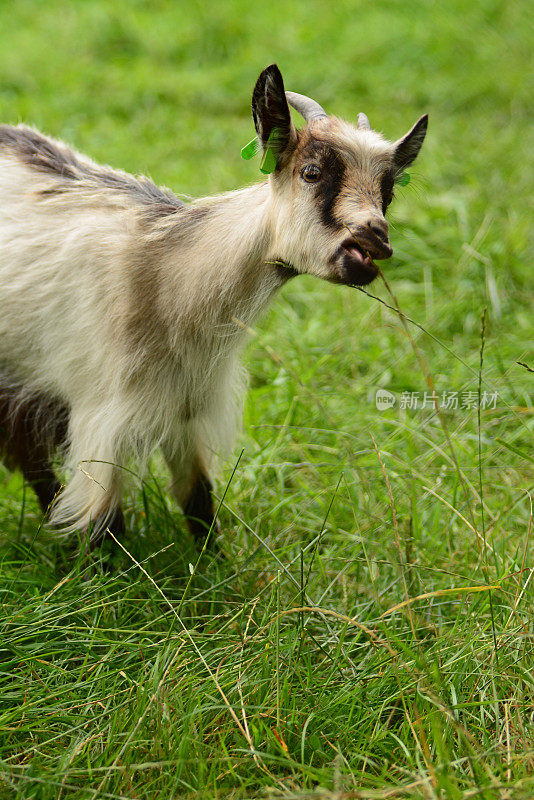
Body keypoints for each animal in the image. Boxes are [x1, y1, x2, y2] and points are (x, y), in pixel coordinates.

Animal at [0, 65, 430, 548]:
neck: (167, 275)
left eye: (388, 190)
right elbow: (105, 528)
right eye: (312, 172)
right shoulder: (101, 414)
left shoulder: (188, 407)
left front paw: (213, 564)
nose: (373, 239)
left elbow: (198, 500)